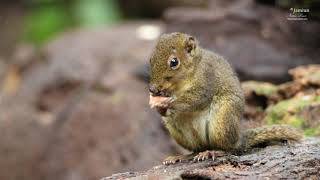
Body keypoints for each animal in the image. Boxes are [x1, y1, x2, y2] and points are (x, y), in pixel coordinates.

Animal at [148, 32, 302, 165]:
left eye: (174, 62)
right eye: (151, 59)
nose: (152, 89)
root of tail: (239, 139)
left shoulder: (207, 80)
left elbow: (196, 98)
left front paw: (169, 105)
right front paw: (160, 107)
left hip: (223, 121)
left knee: (230, 149)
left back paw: (213, 152)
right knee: (197, 149)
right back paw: (182, 156)